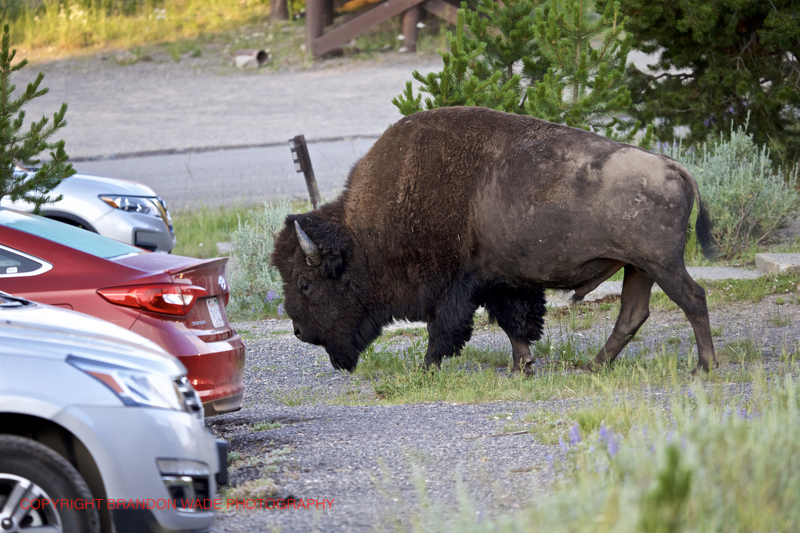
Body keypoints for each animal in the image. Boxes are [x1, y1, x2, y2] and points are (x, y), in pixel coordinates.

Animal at [272, 107, 716, 374]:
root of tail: (673, 166)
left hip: (661, 264)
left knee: (693, 299)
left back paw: (703, 366)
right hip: (639, 268)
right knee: (632, 313)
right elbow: (514, 323)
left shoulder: (448, 286)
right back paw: (595, 365)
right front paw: (522, 367)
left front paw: (428, 368)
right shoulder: (501, 282)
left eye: (305, 283)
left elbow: (444, 329)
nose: (298, 331)